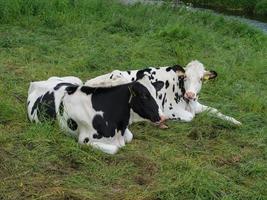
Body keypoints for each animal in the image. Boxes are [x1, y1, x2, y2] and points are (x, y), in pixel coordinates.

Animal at [27, 76, 165, 154]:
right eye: (144, 95)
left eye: (156, 94)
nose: (163, 117)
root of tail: (38, 82)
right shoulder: (84, 141)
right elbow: (115, 149)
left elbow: (129, 137)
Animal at [86, 59, 243, 126]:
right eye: (185, 77)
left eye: (200, 79)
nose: (190, 94)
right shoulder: (170, 109)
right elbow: (190, 117)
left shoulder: (197, 104)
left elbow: (215, 111)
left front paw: (236, 121)